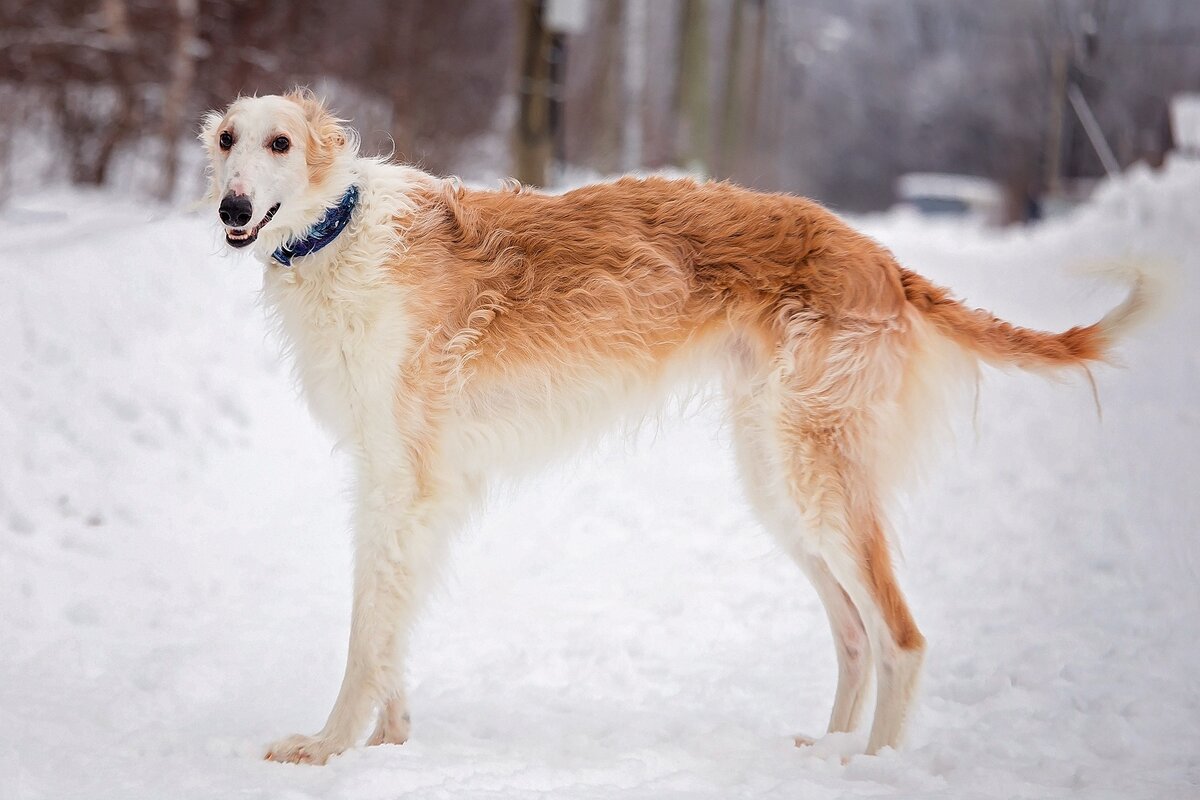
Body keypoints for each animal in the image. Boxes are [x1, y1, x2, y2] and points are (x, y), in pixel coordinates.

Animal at [201, 90, 1147, 767]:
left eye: (280, 143)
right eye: (225, 142)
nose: (232, 210)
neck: (343, 231)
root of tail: (880, 258)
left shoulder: (402, 477)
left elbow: (368, 631)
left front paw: (329, 746)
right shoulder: (409, 485)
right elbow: (393, 627)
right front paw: (389, 741)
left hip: (816, 471)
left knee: (902, 638)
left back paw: (869, 767)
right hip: (777, 474)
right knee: (854, 634)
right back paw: (829, 748)